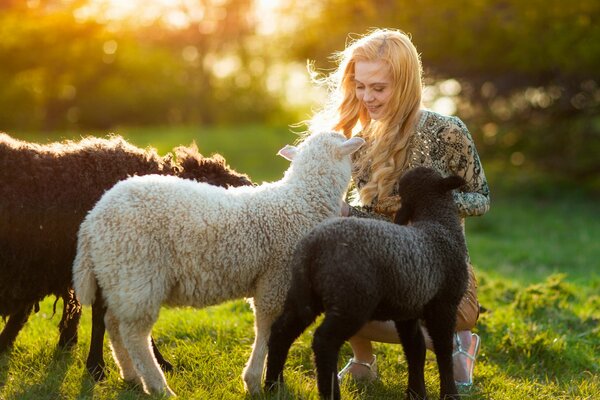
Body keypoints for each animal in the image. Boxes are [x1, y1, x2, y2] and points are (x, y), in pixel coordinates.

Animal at [74, 131, 366, 396]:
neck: (302, 200)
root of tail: (92, 220)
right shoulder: (276, 278)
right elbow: (267, 327)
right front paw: (255, 382)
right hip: (137, 271)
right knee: (134, 334)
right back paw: (159, 387)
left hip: (118, 277)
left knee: (113, 324)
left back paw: (131, 376)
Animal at [266, 166, 468, 400]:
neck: (439, 223)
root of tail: (314, 246)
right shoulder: (445, 304)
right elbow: (443, 350)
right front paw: (450, 394)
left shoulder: (408, 309)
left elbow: (415, 349)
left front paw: (415, 393)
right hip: (352, 300)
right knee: (324, 341)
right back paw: (329, 393)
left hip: (303, 293)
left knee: (281, 331)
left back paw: (273, 386)